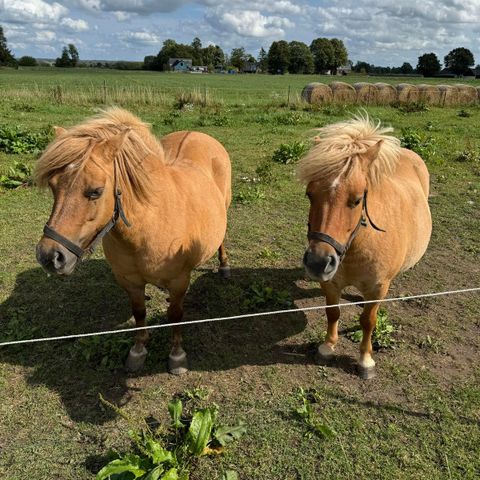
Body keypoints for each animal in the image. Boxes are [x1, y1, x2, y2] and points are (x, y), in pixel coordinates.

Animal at [34, 109, 232, 376]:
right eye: (54, 187)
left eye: (95, 191)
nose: (49, 256)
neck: (148, 226)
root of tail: (197, 134)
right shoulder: (129, 281)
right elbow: (139, 313)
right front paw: (138, 351)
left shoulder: (179, 280)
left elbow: (175, 314)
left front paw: (177, 356)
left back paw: (224, 266)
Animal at [296, 116, 432, 378]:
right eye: (309, 194)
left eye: (357, 199)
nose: (318, 262)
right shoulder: (331, 283)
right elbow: (333, 312)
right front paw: (328, 347)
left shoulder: (377, 288)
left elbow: (368, 321)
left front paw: (365, 361)